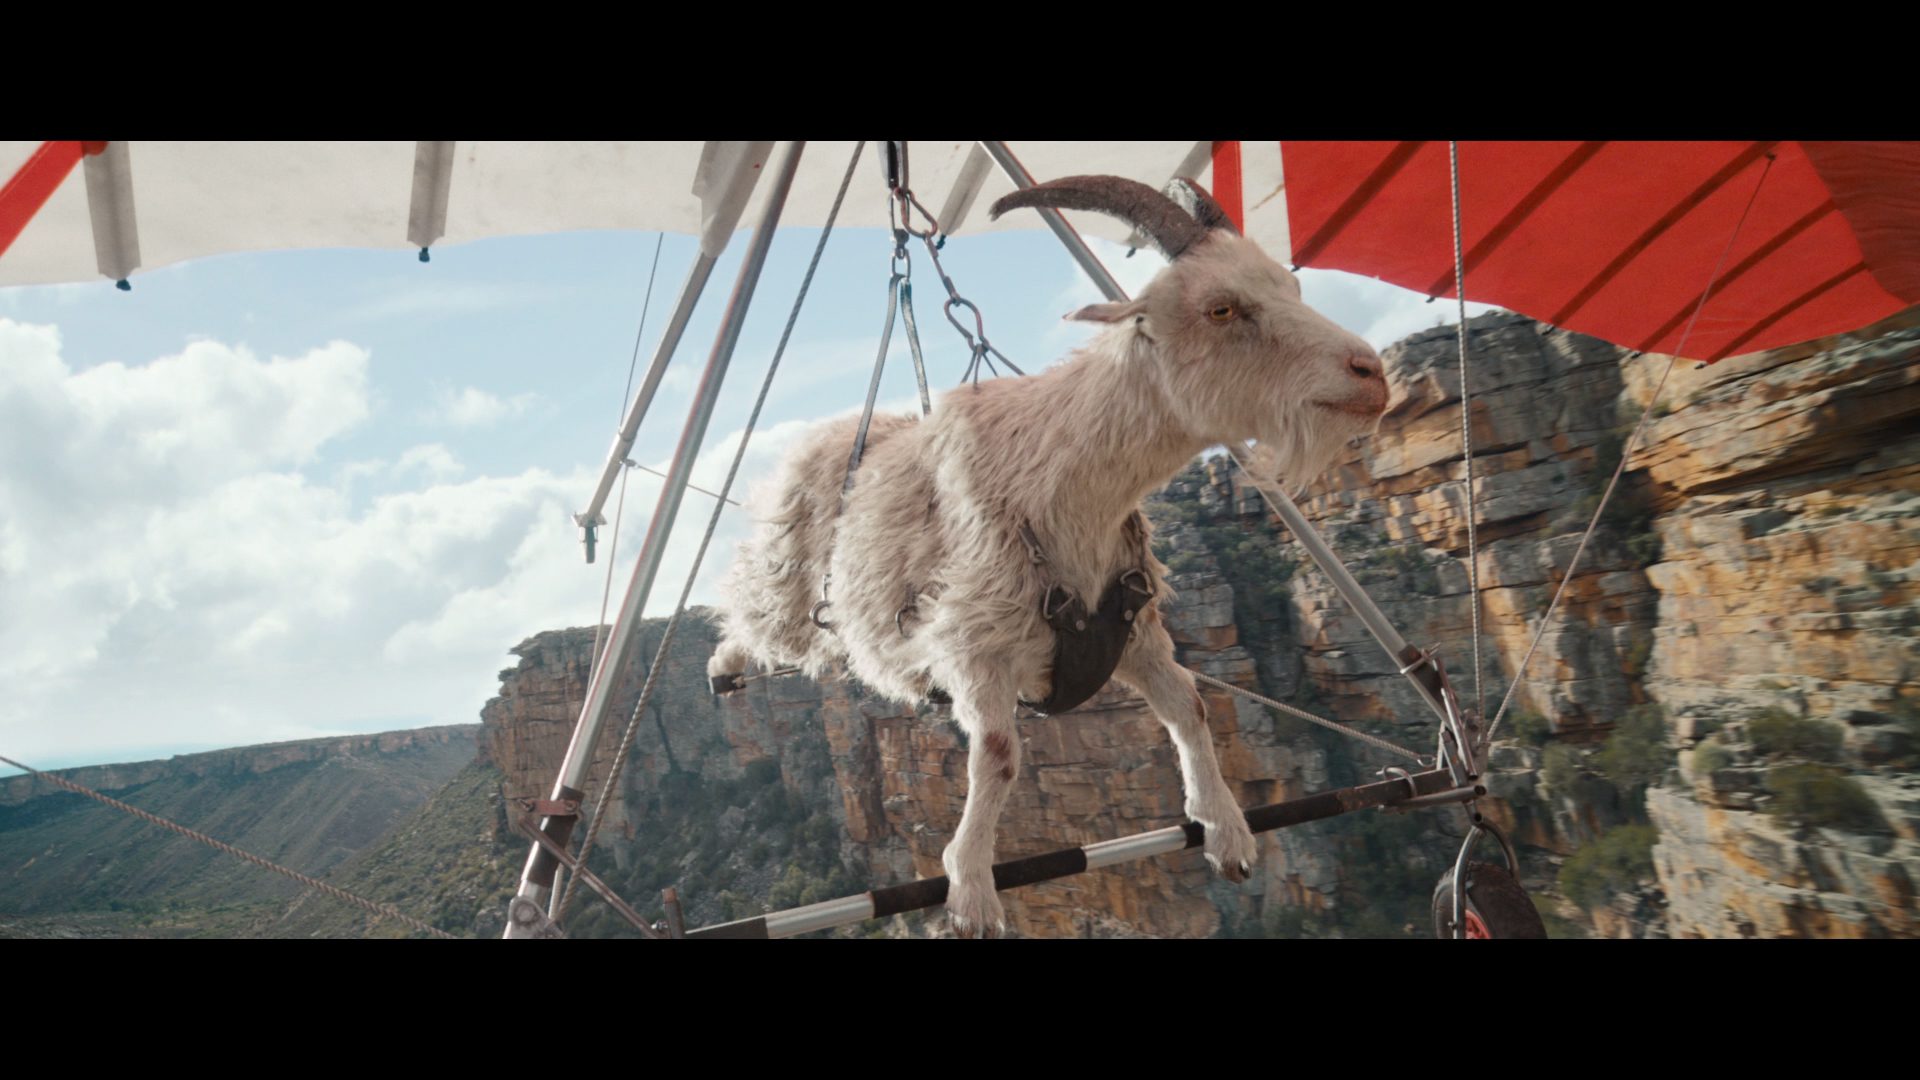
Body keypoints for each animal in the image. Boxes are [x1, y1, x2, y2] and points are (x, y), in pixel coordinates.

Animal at [708, 175, 1387, 937]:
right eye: (1221, 307)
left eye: (1291, 288)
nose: (1371, 373)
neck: (1060, 488)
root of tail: (825, 434)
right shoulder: (975, 647)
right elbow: (1000, 758)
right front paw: (972, 892)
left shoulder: (1133, 634)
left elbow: (1190, 707)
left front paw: (1228, 833)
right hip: (789, 574)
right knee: (752, 611)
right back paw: (723, 668)